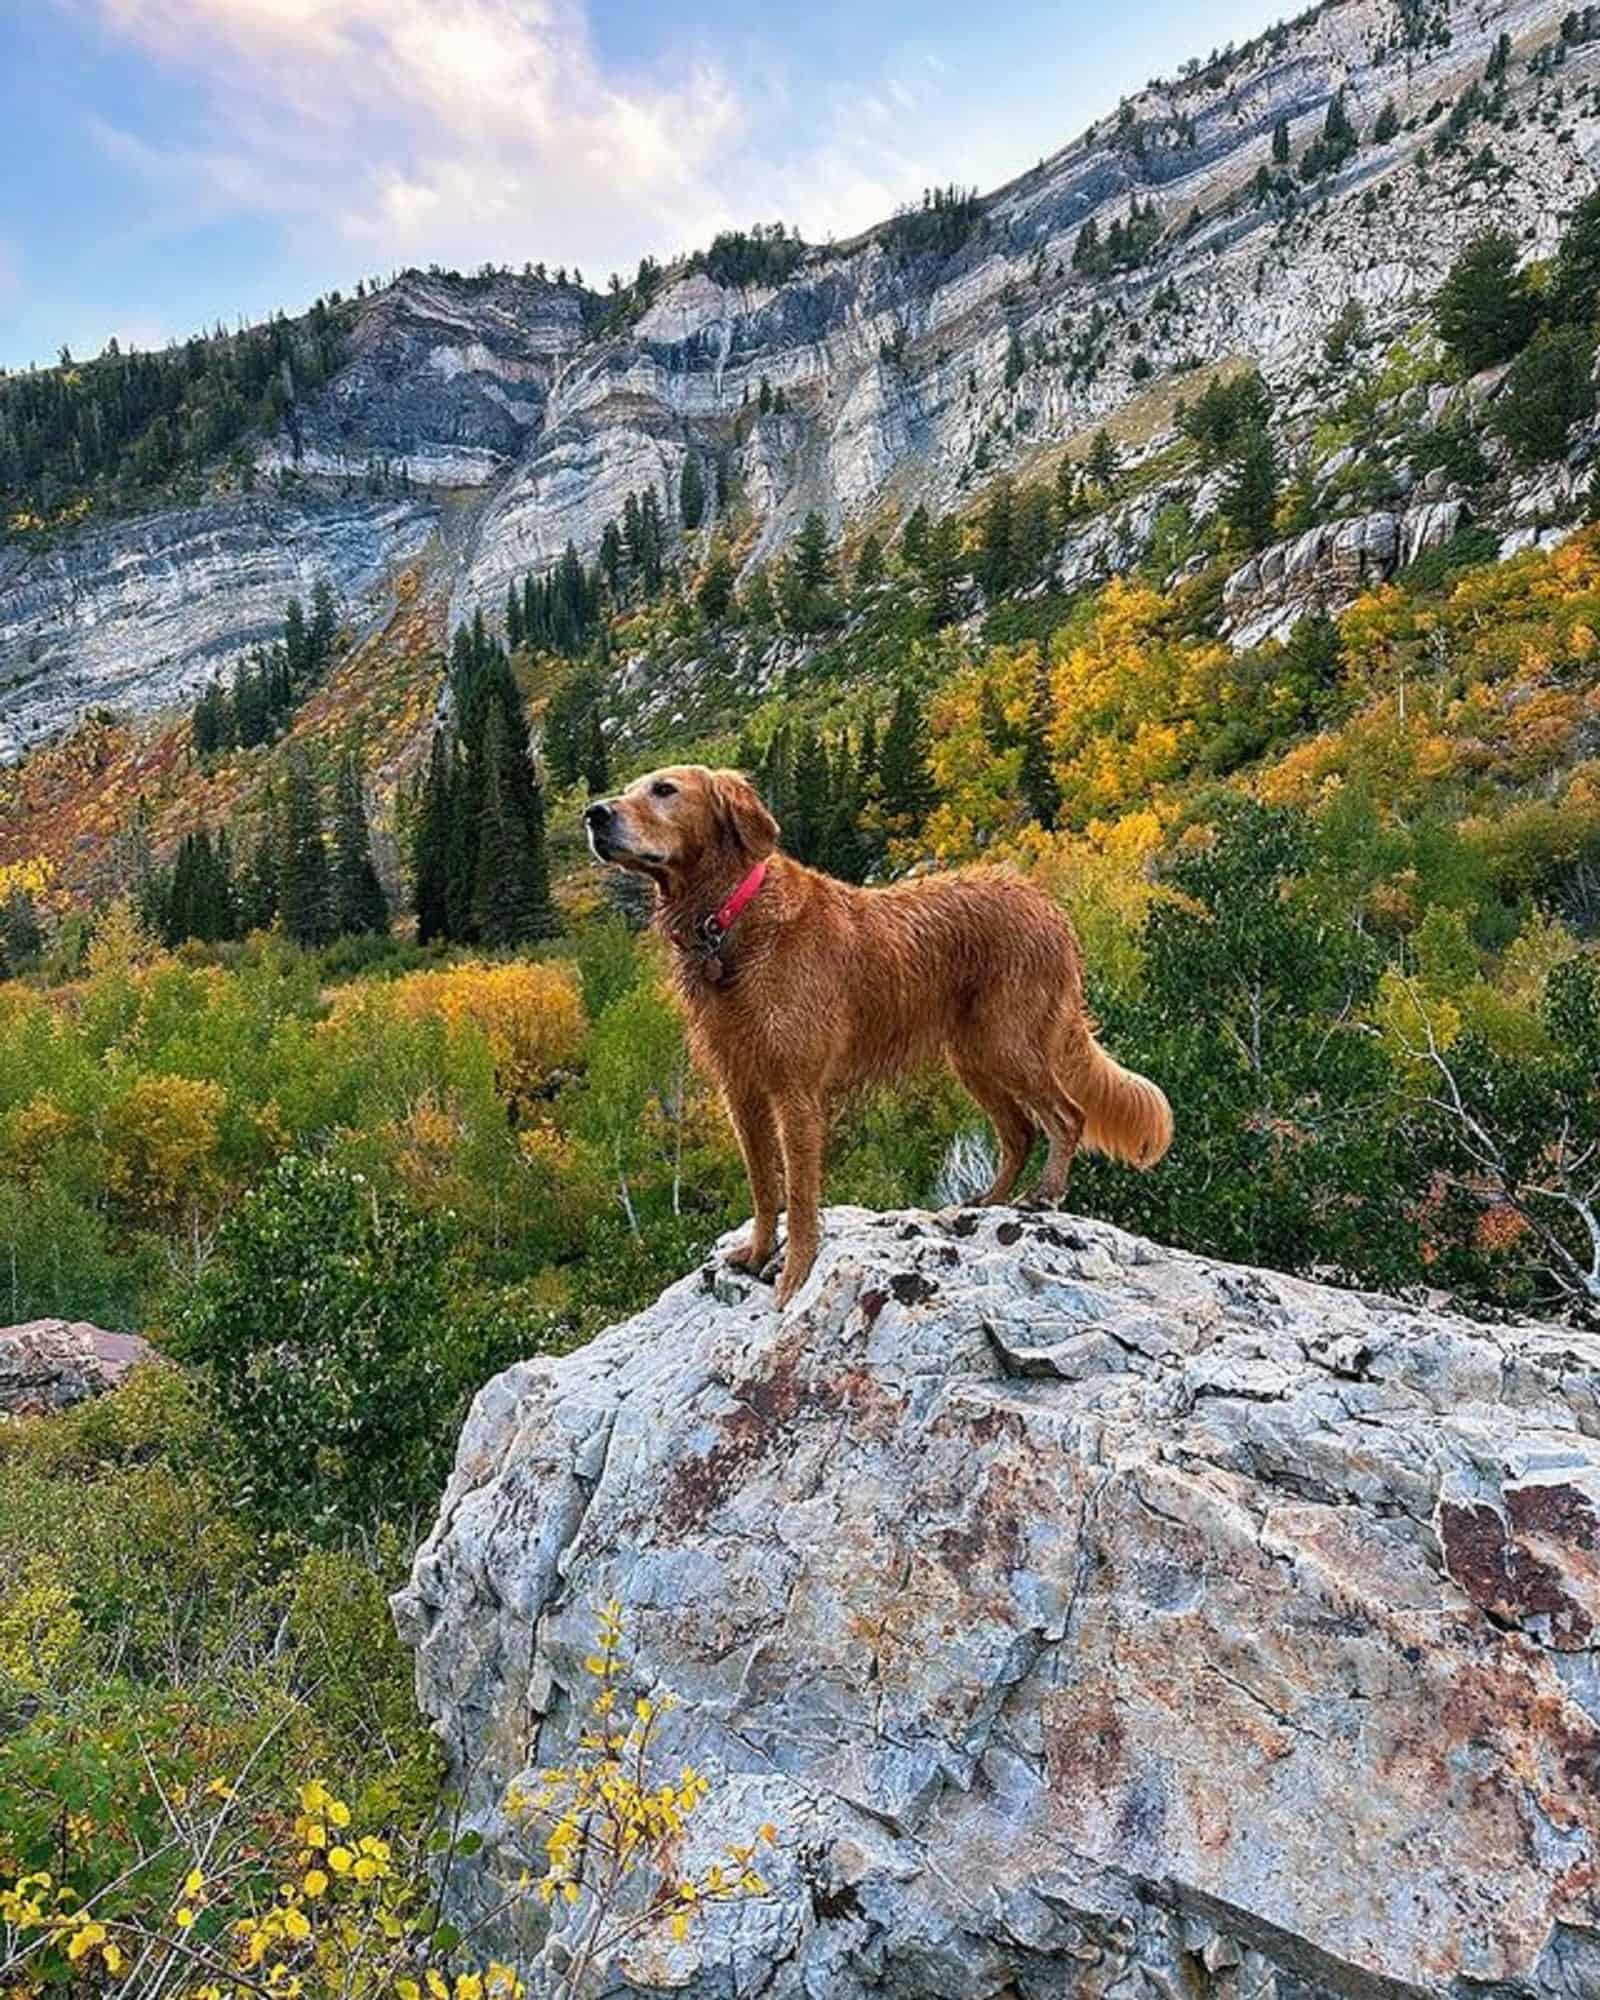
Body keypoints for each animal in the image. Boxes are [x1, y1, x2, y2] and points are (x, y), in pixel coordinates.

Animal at [588, 764, 1176, 1312]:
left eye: (664, 790)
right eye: (631, 788)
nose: (594, 814)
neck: (731, 918)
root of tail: (1046, 903)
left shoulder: (795, 1094)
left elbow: (799, 1196)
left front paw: (794, 1277)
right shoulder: (742, 1089)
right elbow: (763, 1187)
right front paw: (756, 1255)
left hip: (1009, 1045)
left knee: (1066, 1115)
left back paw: (1044, 1196)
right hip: (973, 1058)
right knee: (1020, 1132)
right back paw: (985, 1201)